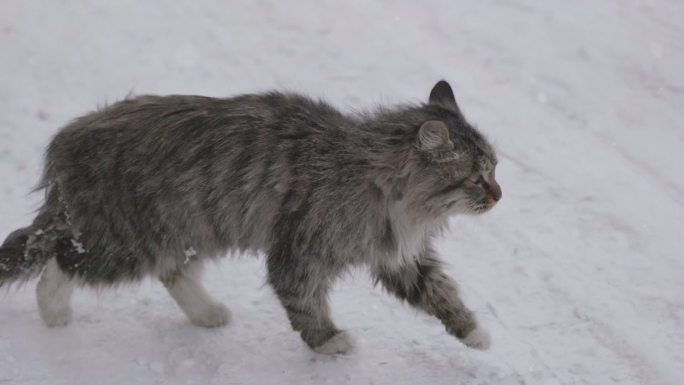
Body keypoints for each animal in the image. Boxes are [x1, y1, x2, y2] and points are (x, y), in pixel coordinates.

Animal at [0, 81, 502, 354]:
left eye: (495, 169)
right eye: (476, 178)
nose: (499, 195)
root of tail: (66, 143)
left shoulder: (399, 257)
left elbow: (441, 293)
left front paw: (474, 333)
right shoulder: (298, 253)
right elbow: (305, 304)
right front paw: (328, 342)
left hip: (186, 229)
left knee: (173, 273)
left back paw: (207, 314)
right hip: (125, 242)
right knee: (61, 263)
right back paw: (54, 314)